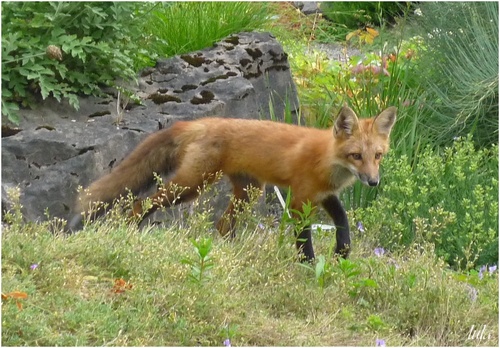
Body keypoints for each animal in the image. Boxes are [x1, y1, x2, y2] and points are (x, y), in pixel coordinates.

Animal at [70, 106, 396, 260]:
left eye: (377, 155)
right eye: (356, 155)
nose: (373, 182)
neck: (327, 160)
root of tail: (201, 122)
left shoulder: (324, 194)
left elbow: (343, 221)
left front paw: (342, 251)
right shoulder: (300, 198)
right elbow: (304, 239)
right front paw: (307, 265)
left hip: (249, 192)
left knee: (222, 224)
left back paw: (235, 252)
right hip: (191, 185)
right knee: (140, 202)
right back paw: (129, 231)